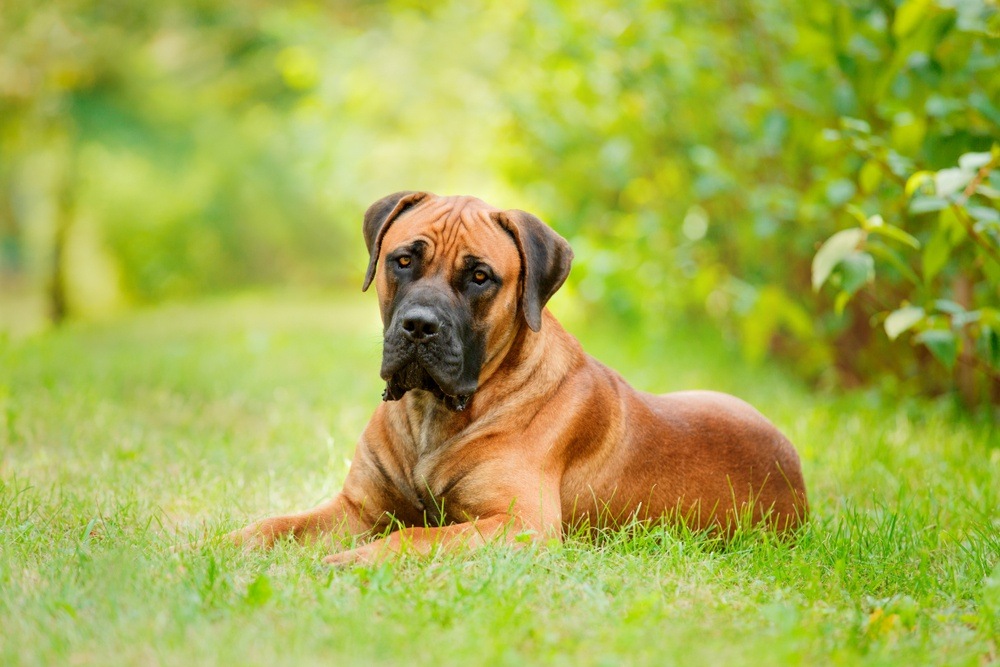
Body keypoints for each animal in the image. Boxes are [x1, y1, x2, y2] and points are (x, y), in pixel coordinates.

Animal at [230, 193, 808, 564]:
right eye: (403, 260)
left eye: (480, 276)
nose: (419, 326)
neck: (431, 413)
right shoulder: (357, 509)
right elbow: (273, 525)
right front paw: (217, 545)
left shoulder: (519, 523)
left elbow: (412, 537)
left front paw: (347, 563)